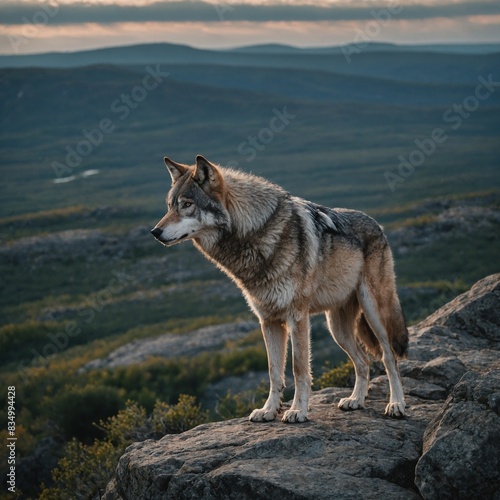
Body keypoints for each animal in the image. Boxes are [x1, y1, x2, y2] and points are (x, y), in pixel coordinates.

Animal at [152, 155, 410, 422]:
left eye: (187, 204)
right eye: (170, 206)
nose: (155, 232)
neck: (254, 235)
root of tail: (378, 225)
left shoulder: (297, 317)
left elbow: (298, 368)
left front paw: (297, 410)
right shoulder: (268, 320)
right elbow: (274, 371)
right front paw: (268, 410)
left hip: (373, 312)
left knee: (389, 356)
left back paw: (396, 404)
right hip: (336, 328)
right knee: (363, 360)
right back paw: (356, 400)